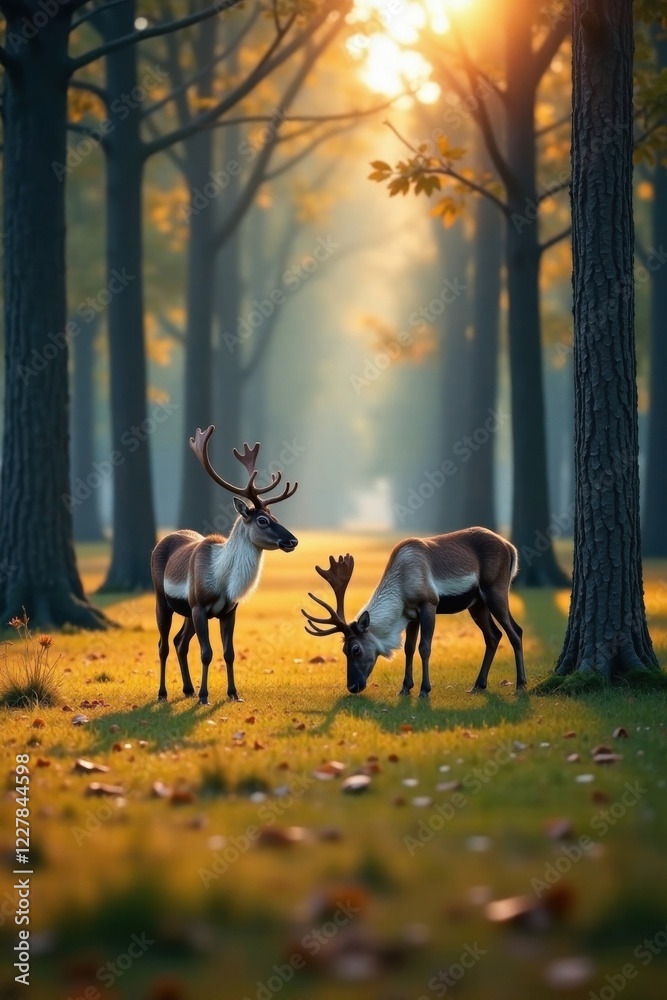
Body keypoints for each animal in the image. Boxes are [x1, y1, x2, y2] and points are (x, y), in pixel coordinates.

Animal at [151, 427, 298, 705]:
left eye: (276, 517)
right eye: (262, 520)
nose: (292, 540)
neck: (223, 581)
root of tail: (162, 541)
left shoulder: (229, 610)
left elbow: (229, 652)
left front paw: (233, 694)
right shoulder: (199, 606)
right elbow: (207, 652)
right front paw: (204, 696)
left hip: (186, 610)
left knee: (179, 642)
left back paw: (187, 688)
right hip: (162, 599)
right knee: (163, 644)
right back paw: (163, 693)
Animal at [301, 527, 526, 697]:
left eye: (355, 649)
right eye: (344, 650)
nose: (352, 686)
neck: (401, 592)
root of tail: (511, 548)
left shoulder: (429, 604)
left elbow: (424, 647)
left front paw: (424, 690)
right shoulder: (410, 615)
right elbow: (408, 648)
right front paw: (405, 688)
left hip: (495, 589)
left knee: (515, 631)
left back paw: (521, 685)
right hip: (477, 604)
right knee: (493, 636)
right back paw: (478, 685)